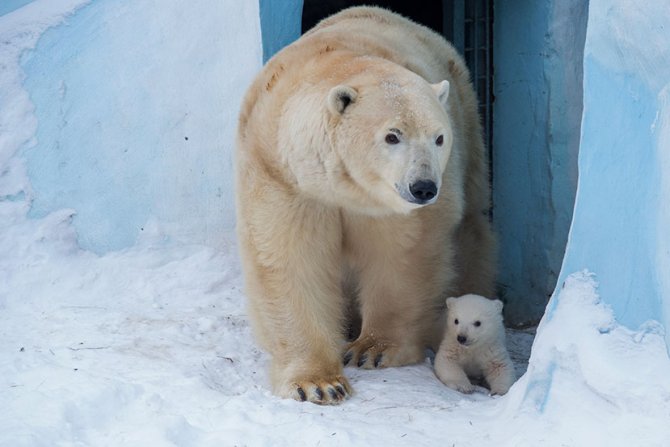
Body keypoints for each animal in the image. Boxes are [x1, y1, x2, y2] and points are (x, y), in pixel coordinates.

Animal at [236, 6, 498, 406]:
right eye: (392, 135)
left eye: (438, 137)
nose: (424, 187)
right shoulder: (282, 175)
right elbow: (289, 257)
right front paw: (318, 383)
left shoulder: (390, 206)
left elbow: (401, 255)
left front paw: (373, 349)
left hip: (468, 127)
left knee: (470, 232)